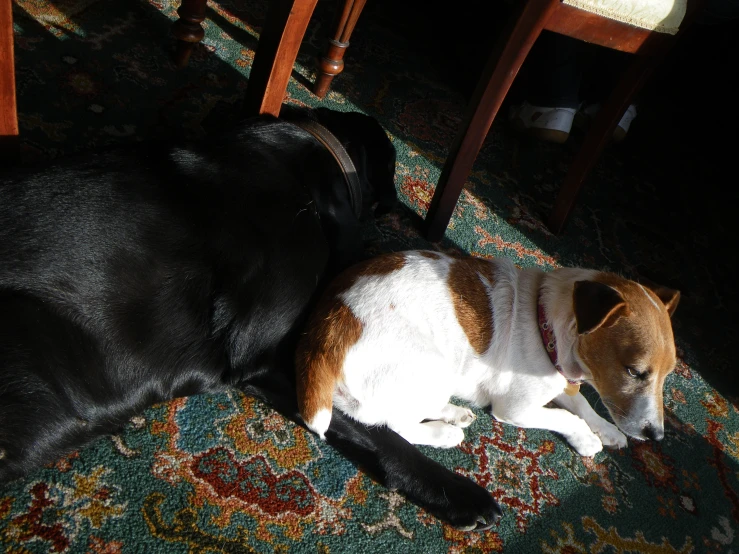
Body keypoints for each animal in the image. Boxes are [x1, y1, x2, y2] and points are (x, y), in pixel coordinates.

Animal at [296, 248, 684, 454]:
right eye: (635, 371)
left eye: (668, 375)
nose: (657, 437)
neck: (547, 325)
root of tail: (325, 333)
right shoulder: (516, 408)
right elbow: (565, 416)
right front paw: (588, 440)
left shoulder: (562, 381)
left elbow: (583, 404)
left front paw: (606, 430)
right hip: (435, 366)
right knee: (396, 424)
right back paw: (444, 433)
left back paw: (453, 413)